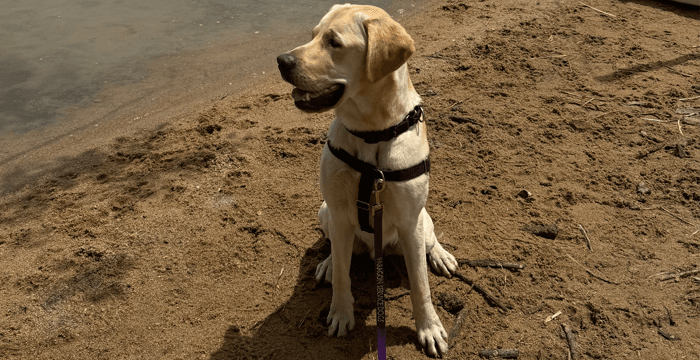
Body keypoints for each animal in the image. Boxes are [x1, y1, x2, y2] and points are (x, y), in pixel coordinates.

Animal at [276, 3, 456, 358]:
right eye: (313, 35)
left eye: (334, 42)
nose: (282, 60)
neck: (373, 133)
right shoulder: (339, 213)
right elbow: (344, 277)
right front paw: (341, 312)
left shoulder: (410, 222)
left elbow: (421, 285)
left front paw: (429, 327)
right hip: (325, 212)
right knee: (336, 248)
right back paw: (329, 264)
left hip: (421, 219)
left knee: (430, 240)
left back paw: (440, 254)